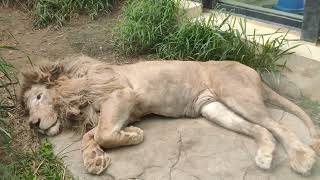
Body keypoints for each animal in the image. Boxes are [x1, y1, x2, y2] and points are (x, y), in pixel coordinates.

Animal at [21, 55, 320, 175]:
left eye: (38, 97)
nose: (33, 124)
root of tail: (254, 71)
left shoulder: (122, 95)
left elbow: (104, 134)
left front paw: (134, 136)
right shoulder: (120, 110)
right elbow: (92, 135)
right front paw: (95, 160)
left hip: (238, 96)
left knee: (279, 127)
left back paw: (302, 158)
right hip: (214, 109)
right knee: (263, 129)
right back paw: (265, 155)